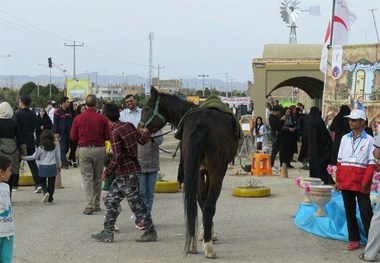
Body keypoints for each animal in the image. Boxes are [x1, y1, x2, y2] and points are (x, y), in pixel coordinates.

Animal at [140, 87, 239, 260]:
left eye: (146, 109)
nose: (139, 129)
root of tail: (202, 122)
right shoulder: (208, 172)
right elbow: (206, 203)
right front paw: (208, 234)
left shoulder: (199, 172)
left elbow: (201, 201)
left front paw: (204, 232)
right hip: (217, 172)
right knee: (209, 205)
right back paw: (208, 247)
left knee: (198, 202)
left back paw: (193, 242)